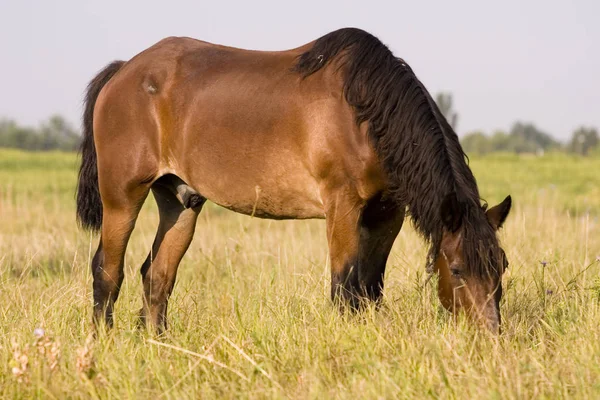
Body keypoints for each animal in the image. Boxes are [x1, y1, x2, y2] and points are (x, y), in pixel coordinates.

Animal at [76, 27, 510, 334]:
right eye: (457, 269)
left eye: (501, 265)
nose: (489, 335)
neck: (366, 116)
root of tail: (123, 72)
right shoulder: (342, 207)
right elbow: (344, 288)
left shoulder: (388, 213)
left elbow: (371, 288)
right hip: (122, 196)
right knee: (107, 271)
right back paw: (103, 344)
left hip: (180, 200)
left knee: (158, 276)